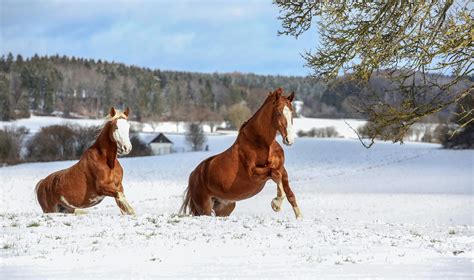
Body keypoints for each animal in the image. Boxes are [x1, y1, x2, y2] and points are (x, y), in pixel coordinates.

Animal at [180, 87, 302, 219]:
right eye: (279, 112)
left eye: (292, 112)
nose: (289, 140)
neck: (263, 144)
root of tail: (194, 174)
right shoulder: (253, 173)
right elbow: (275, 174)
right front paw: (276, 204)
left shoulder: (282, 169)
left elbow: (289, 193)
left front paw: (299, 217)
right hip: (204, 208)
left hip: (224, 208)